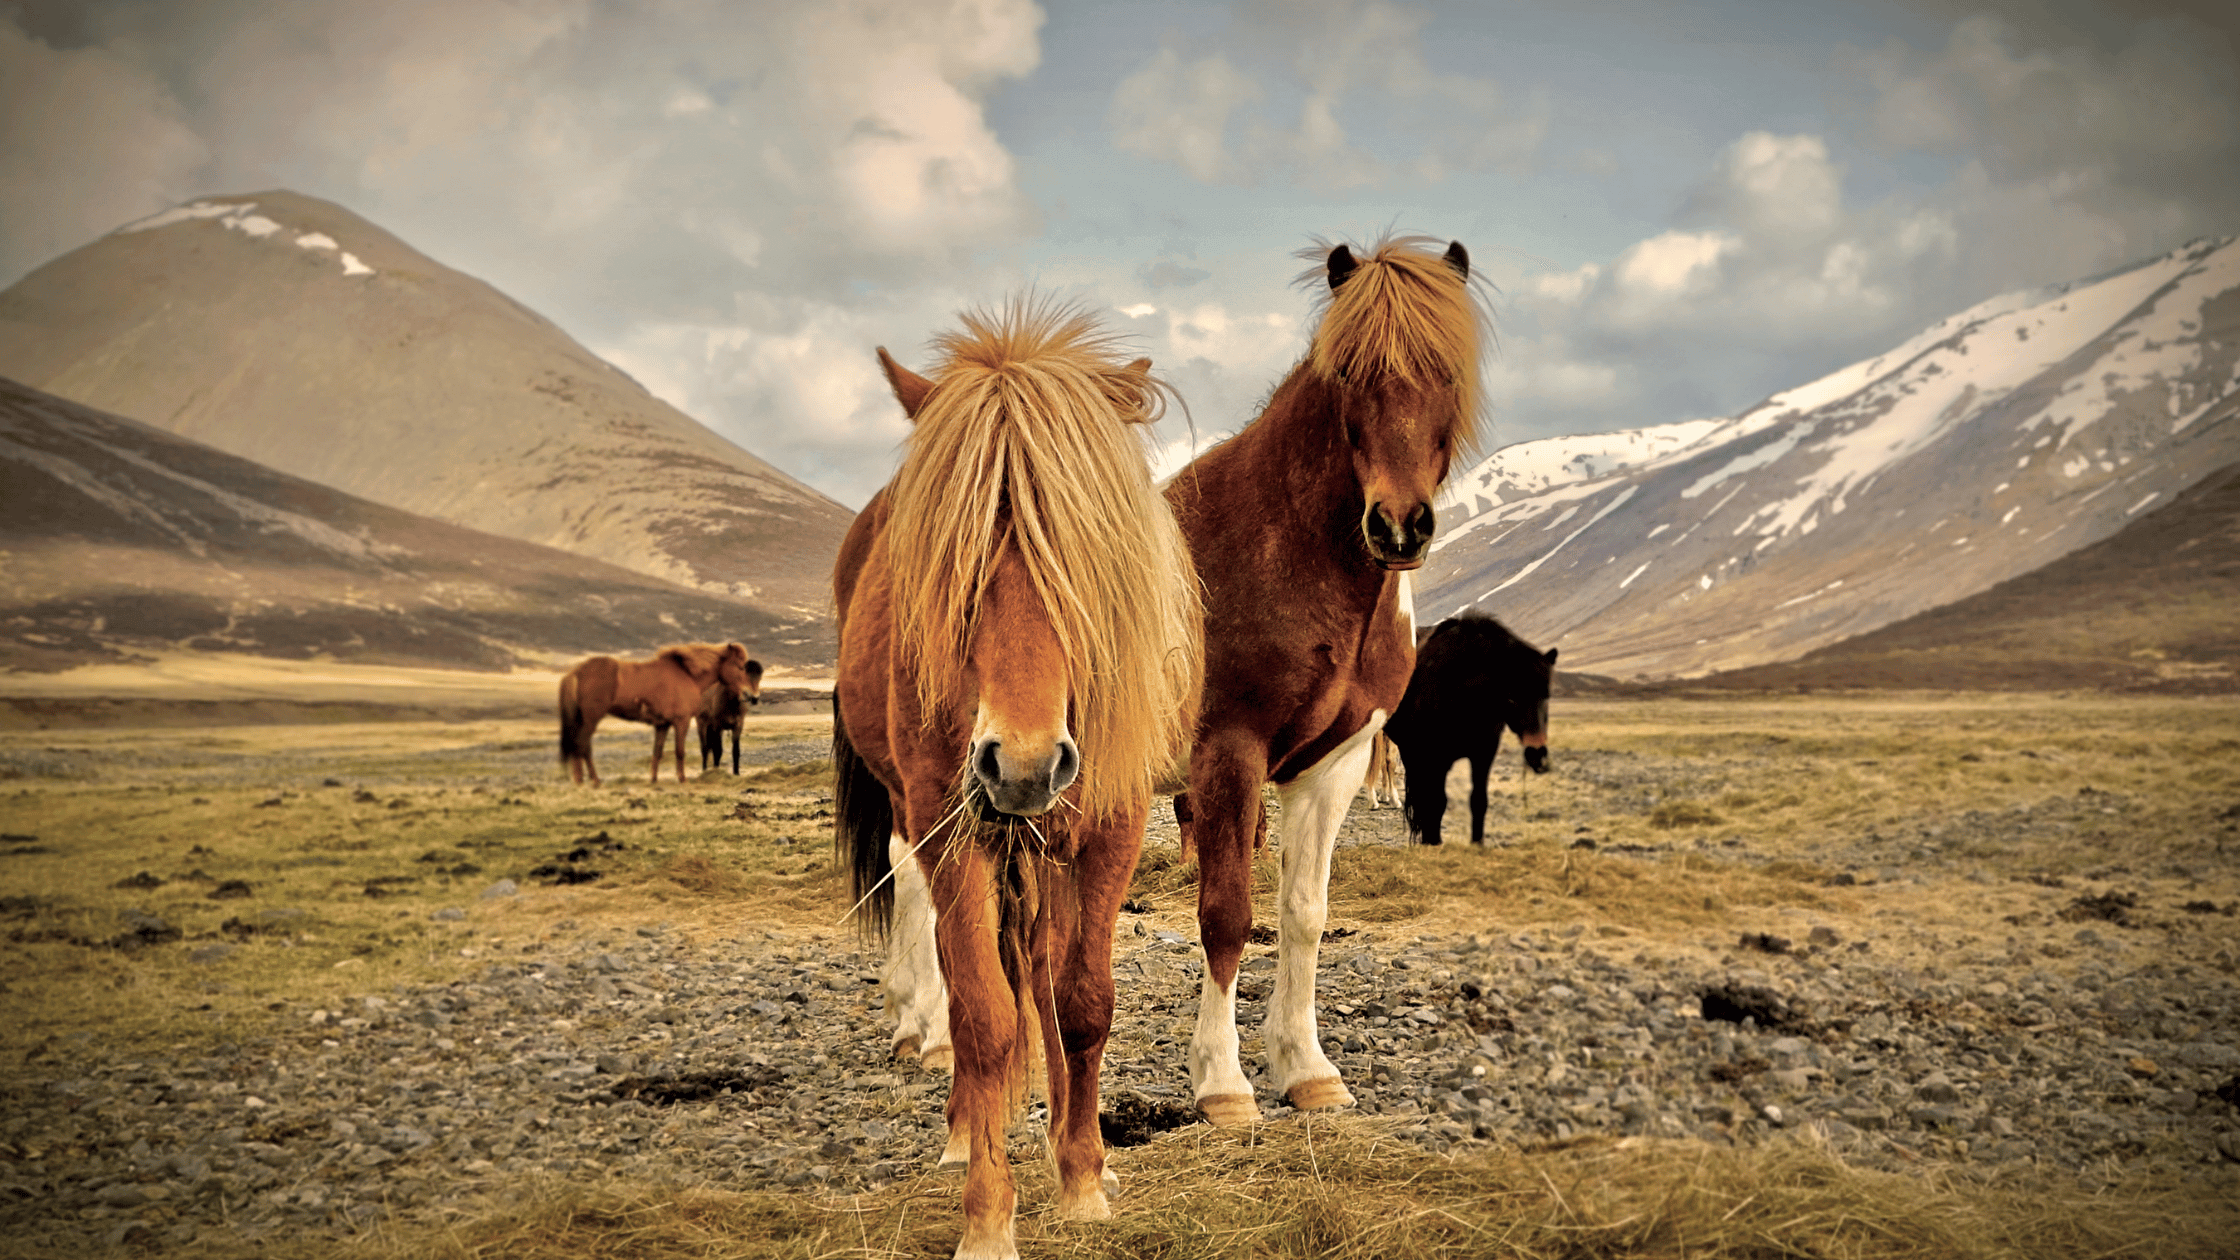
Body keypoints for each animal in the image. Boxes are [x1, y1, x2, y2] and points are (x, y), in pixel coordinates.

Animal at [553, 641, 748, 780]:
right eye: (739, 666)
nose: (748, 695)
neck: (687, 675)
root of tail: (576, 672)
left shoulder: (662, 725)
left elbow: (657, 752)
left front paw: (653, 780)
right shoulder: (681, 722)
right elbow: (679, 751)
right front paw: (682, 779)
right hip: (591, 719)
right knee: (582, 746)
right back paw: (589, 781)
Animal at [833, 304, 1200, 1255]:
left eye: (1087, 558)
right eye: (953, 566)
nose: (1025, 763)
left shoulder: (1110, 825)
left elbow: (1082, 1003)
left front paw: (1085, 1177)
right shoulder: (950, 830)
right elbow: (986, 1018)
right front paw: (988, 1217)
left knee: (1042, 970)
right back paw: (970, 1131)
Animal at [1173, 233, 1487, 1116]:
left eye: (1448, 369)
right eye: (1349, 372)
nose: (1399, 526)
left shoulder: (1334, 764)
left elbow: (1304, 913)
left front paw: (1305, 1067)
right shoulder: (1229, 754)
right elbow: (1226, 914)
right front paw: (1223, 1082)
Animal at [1379, 609, 1559, 842]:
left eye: (1546, 696)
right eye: (1512, 698)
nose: (1537, 755)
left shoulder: (1483, 754)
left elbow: (1478, 802)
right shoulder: (1436, 757)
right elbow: (1435, 804)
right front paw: (1433, 843)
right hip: (1411, 751)